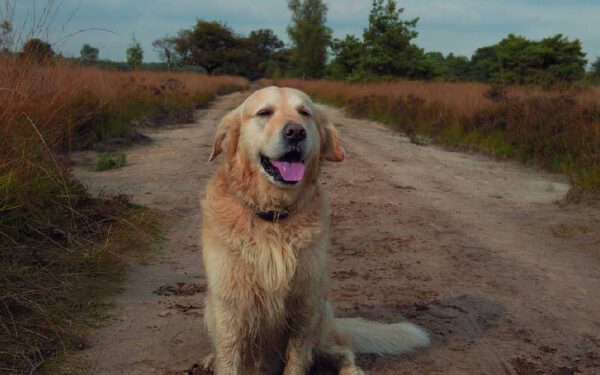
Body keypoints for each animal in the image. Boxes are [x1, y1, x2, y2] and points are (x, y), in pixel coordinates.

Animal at [202, 86, 432, 374]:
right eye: (264, 113)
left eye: (304, 113)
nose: (295, 132)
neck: (274, 218)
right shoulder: (228, 307)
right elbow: (229, 358)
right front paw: (218, 361)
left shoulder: (306, 302)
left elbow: (298, 359)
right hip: (210, 309)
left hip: (322, 316)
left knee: (340, 351)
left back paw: (351, 369)